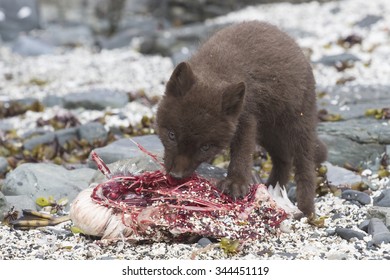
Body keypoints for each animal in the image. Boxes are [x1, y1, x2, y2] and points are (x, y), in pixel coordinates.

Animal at [155, 20, 326, 217]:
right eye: (171, 135)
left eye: (205, 147)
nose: (176, 176)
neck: (216, 69)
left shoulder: (247, 119)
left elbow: (242, 152)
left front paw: (235, 183)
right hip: (270, 132)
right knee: (283, 160)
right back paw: (271, 189)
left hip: (298, 125)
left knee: (305, 167)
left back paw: (306, 211)